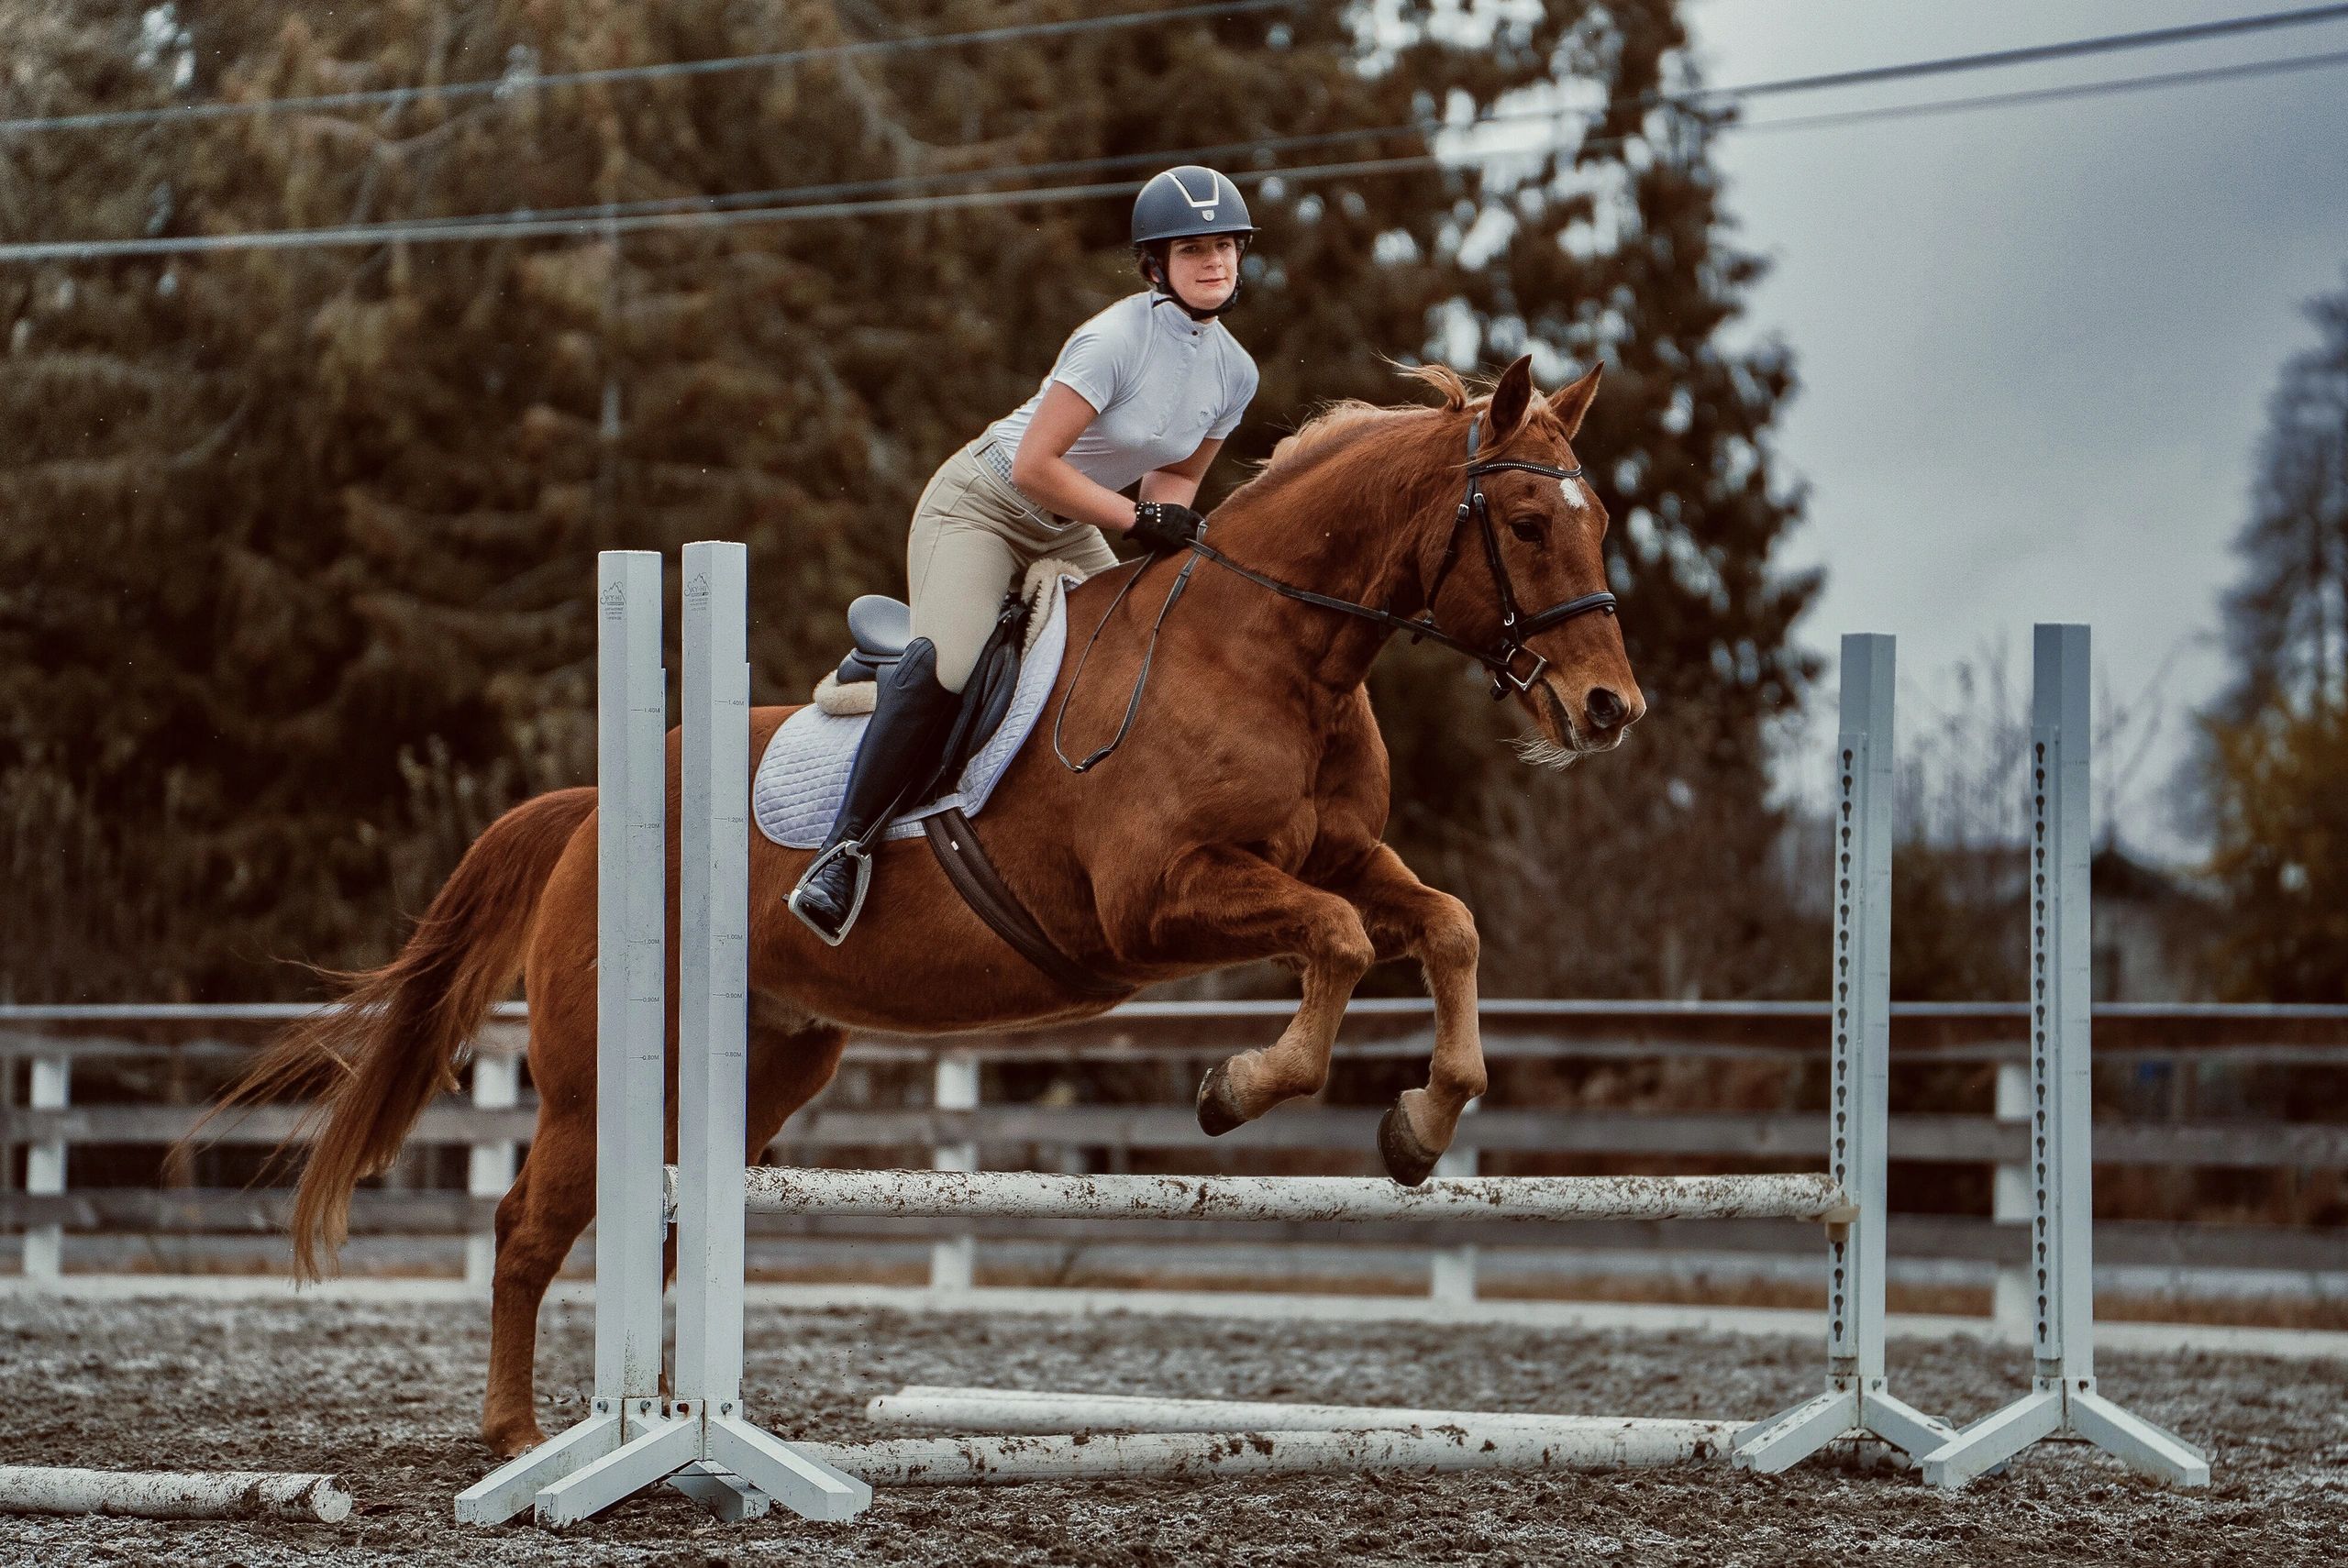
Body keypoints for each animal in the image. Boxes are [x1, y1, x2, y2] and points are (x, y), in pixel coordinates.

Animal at [206, 351, 1644, 1458]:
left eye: (1597, 525)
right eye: (1525, 525)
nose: (1608, 711)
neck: (1276, 650)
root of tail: (592, 808)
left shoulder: (1339, 856)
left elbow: (1442, 923)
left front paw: (1420, 1122)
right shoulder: (1156, 903)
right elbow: (1338, 944)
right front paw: (1239, 1088)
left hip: (762, 1069)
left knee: (667, 1224)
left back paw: (677, 1421)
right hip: (599, 1079)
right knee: (526, 1227)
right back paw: (521, 1438)